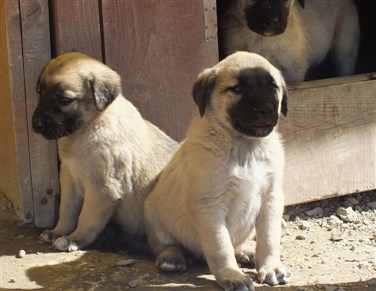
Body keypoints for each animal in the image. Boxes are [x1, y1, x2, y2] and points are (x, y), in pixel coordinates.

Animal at [32, 52, 178, 253]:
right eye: (40, 91)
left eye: (64, 100)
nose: (36, 125)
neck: (89, 127)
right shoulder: (70, 179)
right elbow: (67, 211)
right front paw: (57, 232)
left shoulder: (101, 190)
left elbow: (86, 219)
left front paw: (73, 239)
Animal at [144, 51, 288, 290]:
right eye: (237, 89)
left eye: (273, 87)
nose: (266, 109)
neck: (244, 146)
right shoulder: (209, 205)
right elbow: (220, 246)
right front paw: (232, 275)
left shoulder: (271, 197)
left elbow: (269, 238)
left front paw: (270, 267)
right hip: (154, 216)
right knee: (164, 244)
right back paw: (172, 258)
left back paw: (245, 252)